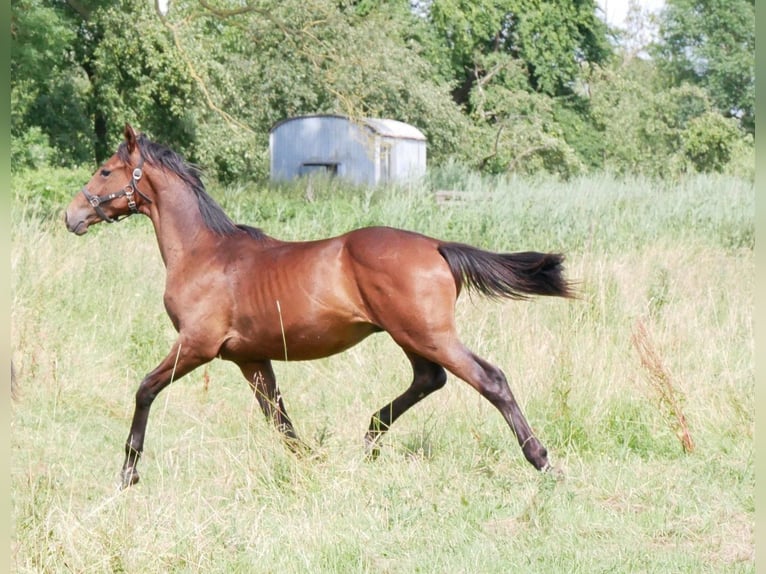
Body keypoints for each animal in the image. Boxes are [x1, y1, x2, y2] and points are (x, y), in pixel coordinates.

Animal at [65, 124, 574, 489]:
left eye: (106, 171)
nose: (72, 215)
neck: (203, 252)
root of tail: (435, 245)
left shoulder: (197, 345)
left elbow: (145, 390)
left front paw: (128, 473)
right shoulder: (250, 357)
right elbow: (279, 419)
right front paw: (312, 461)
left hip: (429, 334)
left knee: (490, 379)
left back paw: (543, 461)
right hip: (411, 336)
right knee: (430, 380)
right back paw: (370, 436)